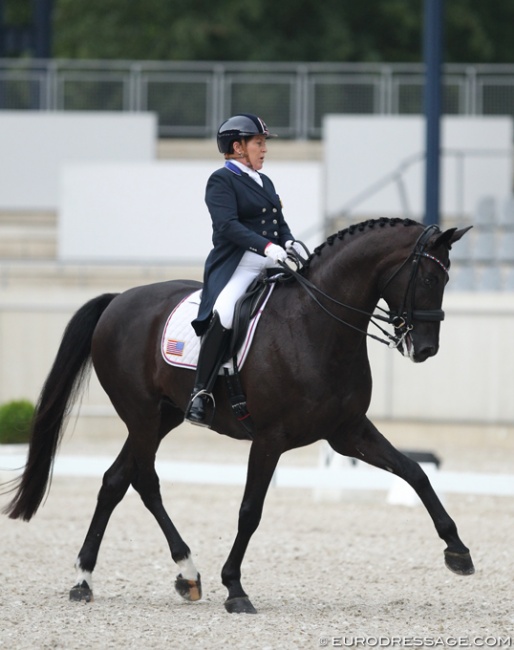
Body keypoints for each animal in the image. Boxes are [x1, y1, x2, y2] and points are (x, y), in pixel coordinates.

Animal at [4, 218, 474, 612]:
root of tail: (118, 298)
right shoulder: (270, 438)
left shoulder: (349, 432)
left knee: (116, 481)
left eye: (447, 278)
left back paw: (94, 578)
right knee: (145, 481)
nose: (425, 349)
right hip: (141, 414)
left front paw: (457, 550)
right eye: (429, 277)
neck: (318, 326)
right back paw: (180, 571)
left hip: (162, 416)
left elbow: (415, 472)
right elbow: (250, 511)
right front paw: (234, 588)